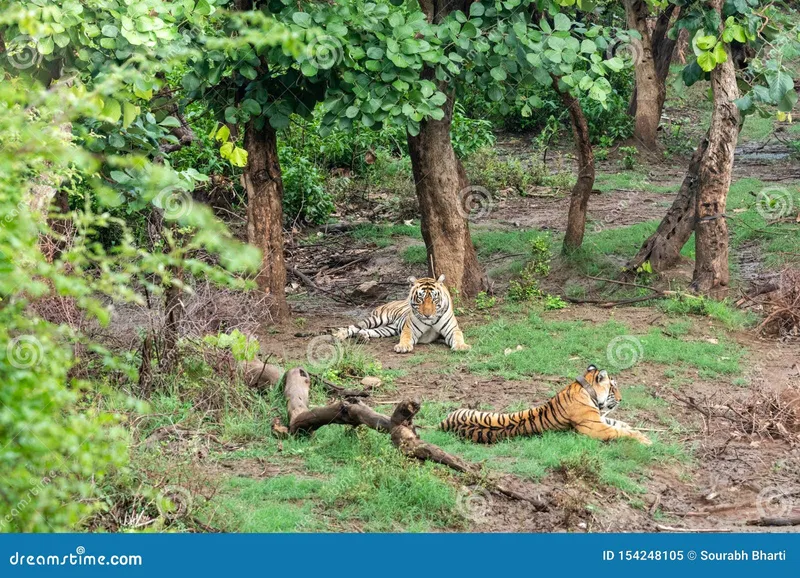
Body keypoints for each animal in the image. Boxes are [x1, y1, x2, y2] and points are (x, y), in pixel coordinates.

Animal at [334, 274, 472, 352]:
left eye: (434, 299)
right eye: (420, 298)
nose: (427, 315)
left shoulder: (452, 329)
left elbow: (458, 336)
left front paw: (461, 346)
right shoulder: (410, 329)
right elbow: (405, 337)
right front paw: (402, 346)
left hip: (389, 329)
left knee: (368, 331)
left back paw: (362, 337)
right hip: (377, 319)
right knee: (354, 327)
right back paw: (339, 335)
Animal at [440, 364, 652, 446]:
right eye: (613, 388)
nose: (621, 399)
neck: (584, 388)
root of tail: (443, 424)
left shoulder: (600, 419)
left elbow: (622, 424)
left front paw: (640, 432)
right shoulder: (596, 428)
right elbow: (620, 431)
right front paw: (645, 440)